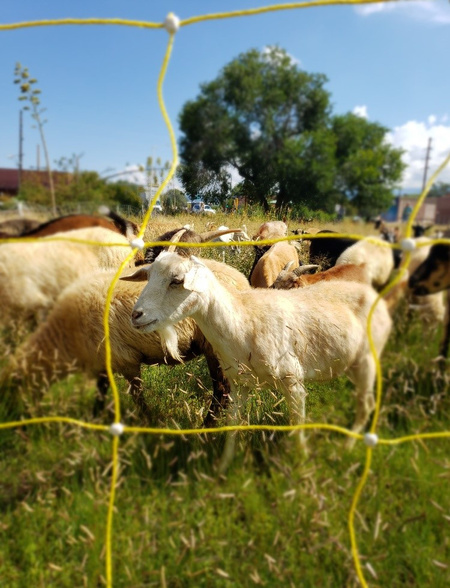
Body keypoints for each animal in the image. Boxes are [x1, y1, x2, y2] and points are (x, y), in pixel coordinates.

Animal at [2, 258, 250, 422]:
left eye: (13, 388)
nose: (13, 416)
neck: (64, 338)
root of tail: (242, 282)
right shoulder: (101, 360)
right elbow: (101, 389)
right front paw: (96, 416)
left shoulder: (125, 358)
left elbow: (136, 393)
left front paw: (147, 421)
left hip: (215, 347)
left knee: (221, 391)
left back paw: (206, 426)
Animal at [129, 250, 390, 470]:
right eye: (148, 276)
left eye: (176, 280)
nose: (136, 315)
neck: (244, 321)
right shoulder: (239, 383)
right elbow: (233, 424)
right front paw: (223, 466)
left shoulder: (293, 380)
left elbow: (297, 423)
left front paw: (302, 464)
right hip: (352, 363)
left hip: (368, 359)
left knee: (366, 405)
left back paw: (349, 446)